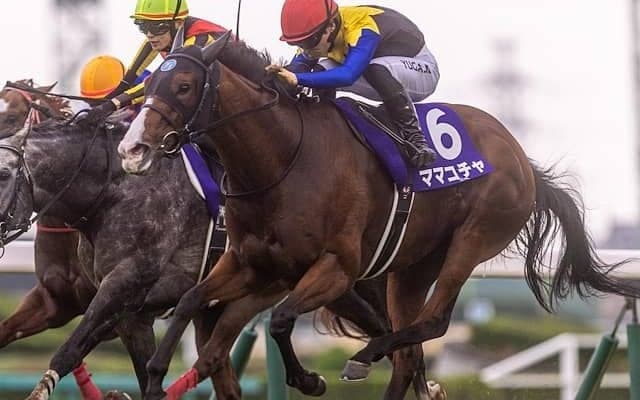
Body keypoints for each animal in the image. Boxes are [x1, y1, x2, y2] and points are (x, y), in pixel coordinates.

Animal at [117, 30, 640, 400]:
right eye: (151, 81)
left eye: (184, 85)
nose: (132, 148)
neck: (282, 160)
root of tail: (521, 157)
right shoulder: (251, 263)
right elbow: (191, 301)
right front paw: (155, 375)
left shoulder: (336, 268)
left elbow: (282, 320)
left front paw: (310, 379)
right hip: (411, 267)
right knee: (409, 354)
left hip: (473, 239)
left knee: (432, 325)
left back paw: (363, 356)